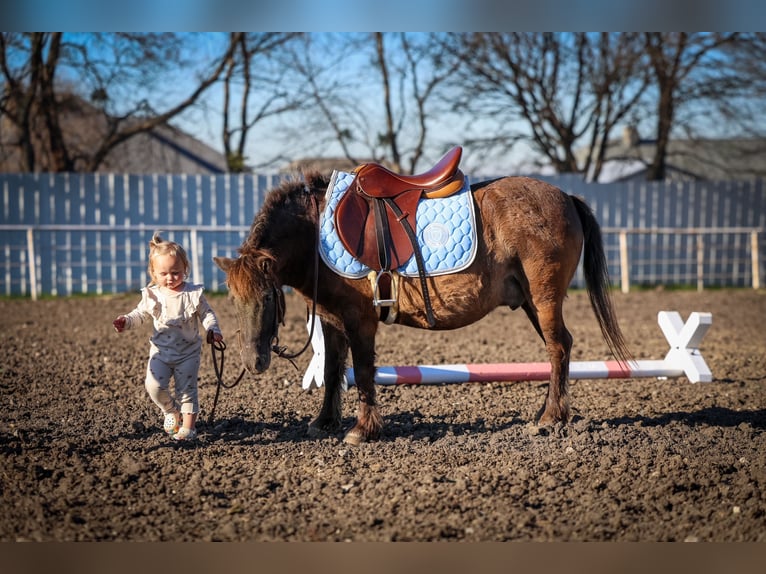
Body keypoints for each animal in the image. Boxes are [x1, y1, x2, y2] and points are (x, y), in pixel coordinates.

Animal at [214, 159, 631, 445]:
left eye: (268, 295)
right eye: (233, 298)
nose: (252, 362)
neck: (316, 233)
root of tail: (567, 197)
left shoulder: (360, 319)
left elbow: (362, 371)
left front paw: (363, 430)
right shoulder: (332, 321)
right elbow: (333, 371)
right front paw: (324, 422)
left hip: (544, 299)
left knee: (558, 347)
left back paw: (551, 418)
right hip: (531, 301)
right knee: (558, 348)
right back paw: (551, 412)